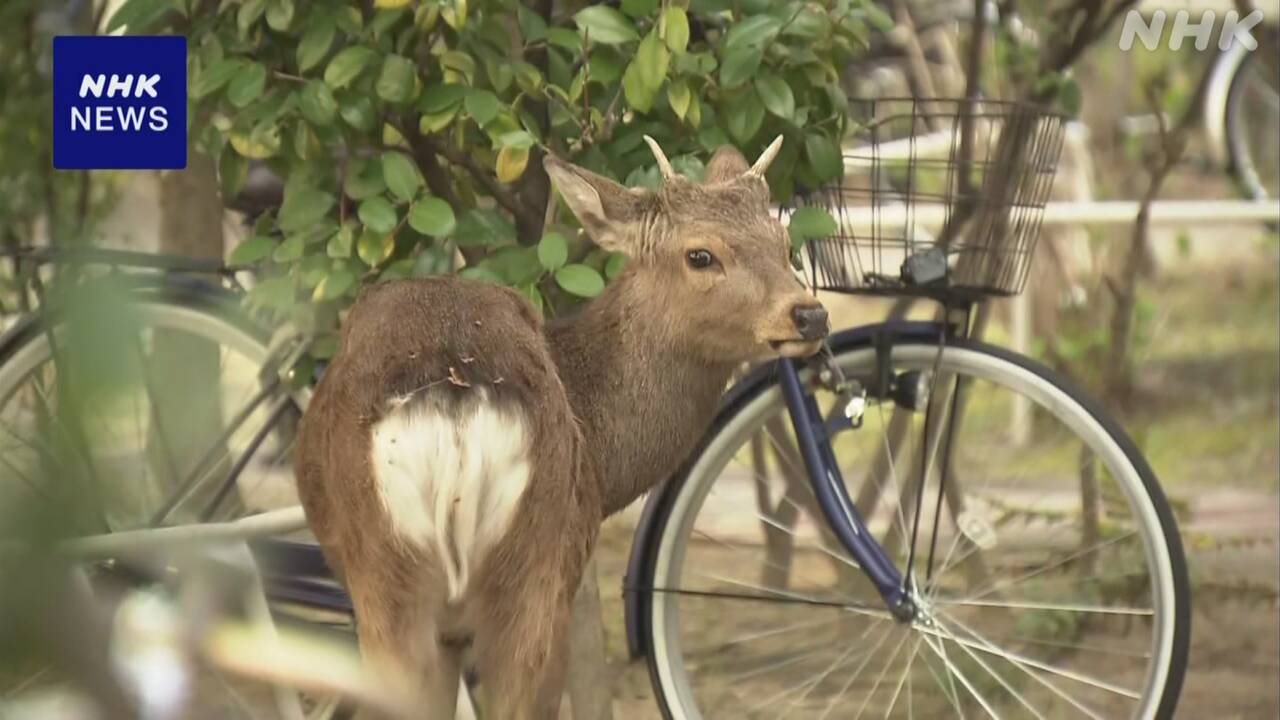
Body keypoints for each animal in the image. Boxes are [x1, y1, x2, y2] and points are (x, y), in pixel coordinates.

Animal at [293, 136, 829, 719]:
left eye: (784, 241)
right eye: (700, 255)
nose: (810, 314)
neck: (601, 451)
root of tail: (456, 396)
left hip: (435, 576)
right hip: (518, 568)